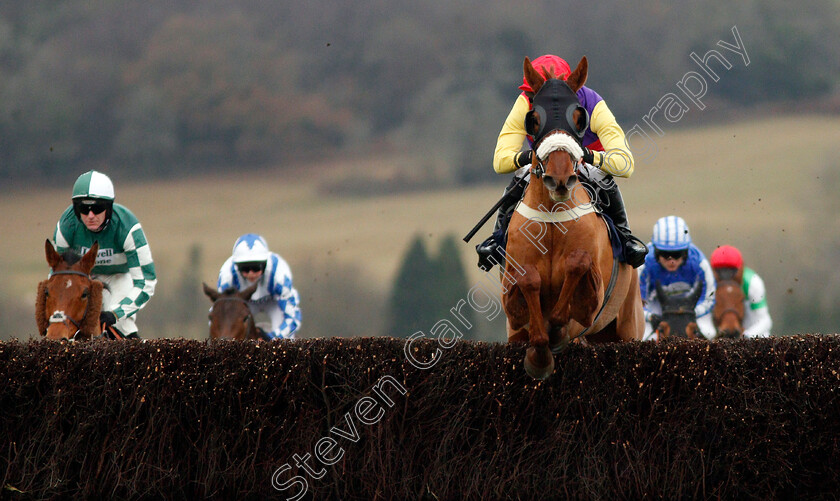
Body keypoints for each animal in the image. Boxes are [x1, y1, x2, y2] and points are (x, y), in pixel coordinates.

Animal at [502, 56, 648, 376]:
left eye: (580, 117)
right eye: (533, 118)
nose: (559, 179)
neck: (552, 221)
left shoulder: (592, 297)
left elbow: (577, 265)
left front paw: (555, 335)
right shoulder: (512, 300)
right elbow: (528, 282)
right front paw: (539, 358)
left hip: (626, 325)